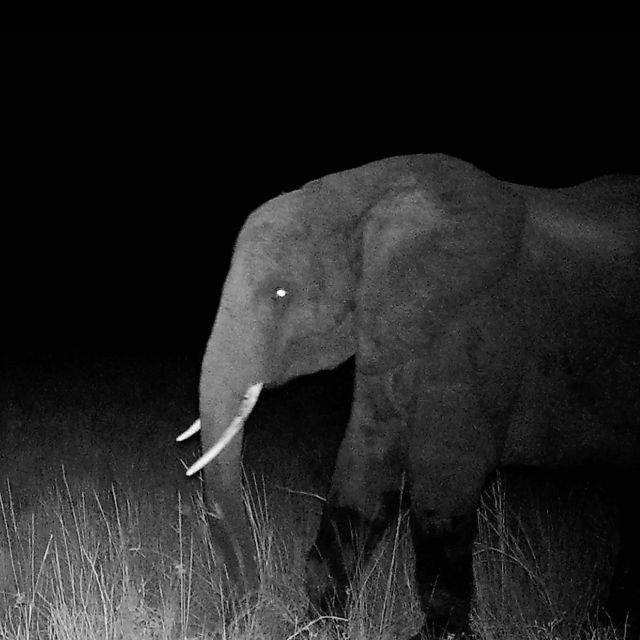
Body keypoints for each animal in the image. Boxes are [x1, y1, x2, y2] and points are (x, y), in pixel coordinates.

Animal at [178, 154, 640, 636]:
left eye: (281, 293)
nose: (247, 609)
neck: (365, 197)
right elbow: (366, 467)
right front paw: (320, 626)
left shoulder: (476, 330)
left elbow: (444, 482)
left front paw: (441, 635)